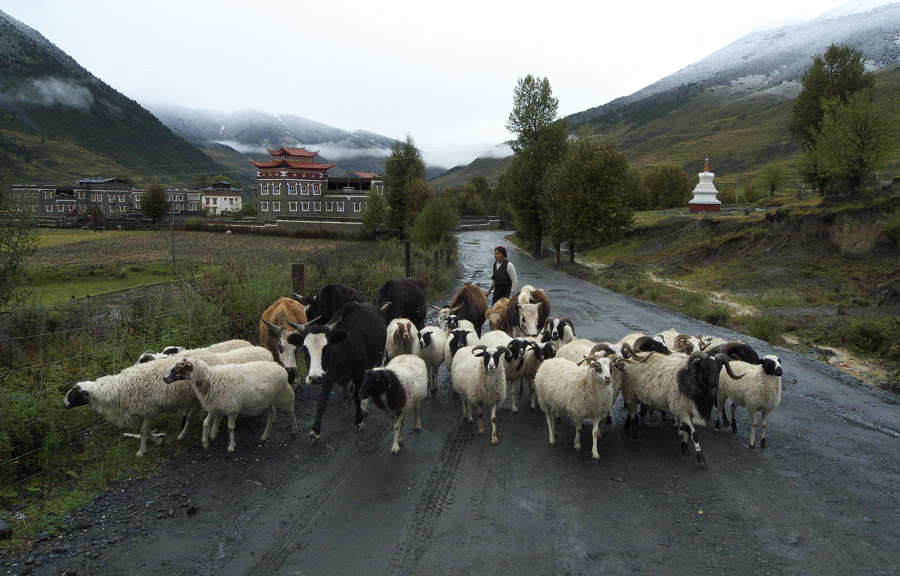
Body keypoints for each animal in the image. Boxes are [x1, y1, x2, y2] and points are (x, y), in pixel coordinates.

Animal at [163, 356, 298, 454]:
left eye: (178, 367)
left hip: (283, 395)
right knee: (271, 416)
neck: (211, 381)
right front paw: (205, 442)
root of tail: (278, 366)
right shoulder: (215, 407)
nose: (164, 378)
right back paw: (264, 436)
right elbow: (205, 423)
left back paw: (294, 429)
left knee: (291, 410)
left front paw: (231, 446)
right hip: (266, 401)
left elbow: (230, 428)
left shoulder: (231, 410)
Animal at [288, 302, 386, 440]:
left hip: (378, 357)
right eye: (305, 349)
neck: (341, 353)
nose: (314, 378)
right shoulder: (327, 376)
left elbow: (356, 396)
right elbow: (322, 402)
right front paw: (315, 431)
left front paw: (358, 421)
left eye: (327, 348)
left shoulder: (358, 372)